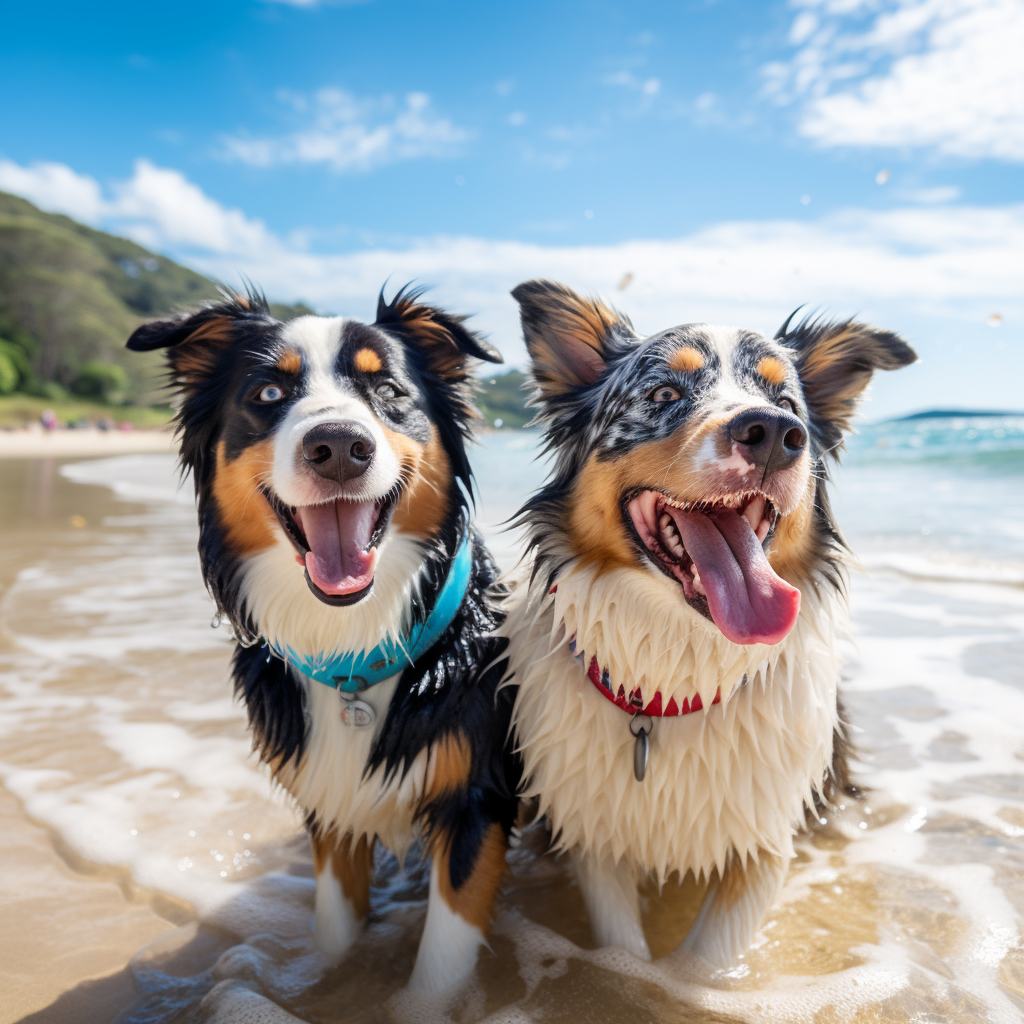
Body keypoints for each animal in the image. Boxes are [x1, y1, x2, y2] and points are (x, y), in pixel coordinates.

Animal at [128, 286, 520, 991]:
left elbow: (441, 964)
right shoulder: (329, 801)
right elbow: (336, 928)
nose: (338, 445)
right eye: (267, 393)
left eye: (388, 389)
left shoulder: (475, 799)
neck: (356, 649)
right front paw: (329, 984)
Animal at [503, 280, 921, 966]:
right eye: (663, 395)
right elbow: (623, 948)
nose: (775, 433)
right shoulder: (593, 832)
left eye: (787, 403)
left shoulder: (766, 836)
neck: (677, 682)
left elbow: (710, 962)